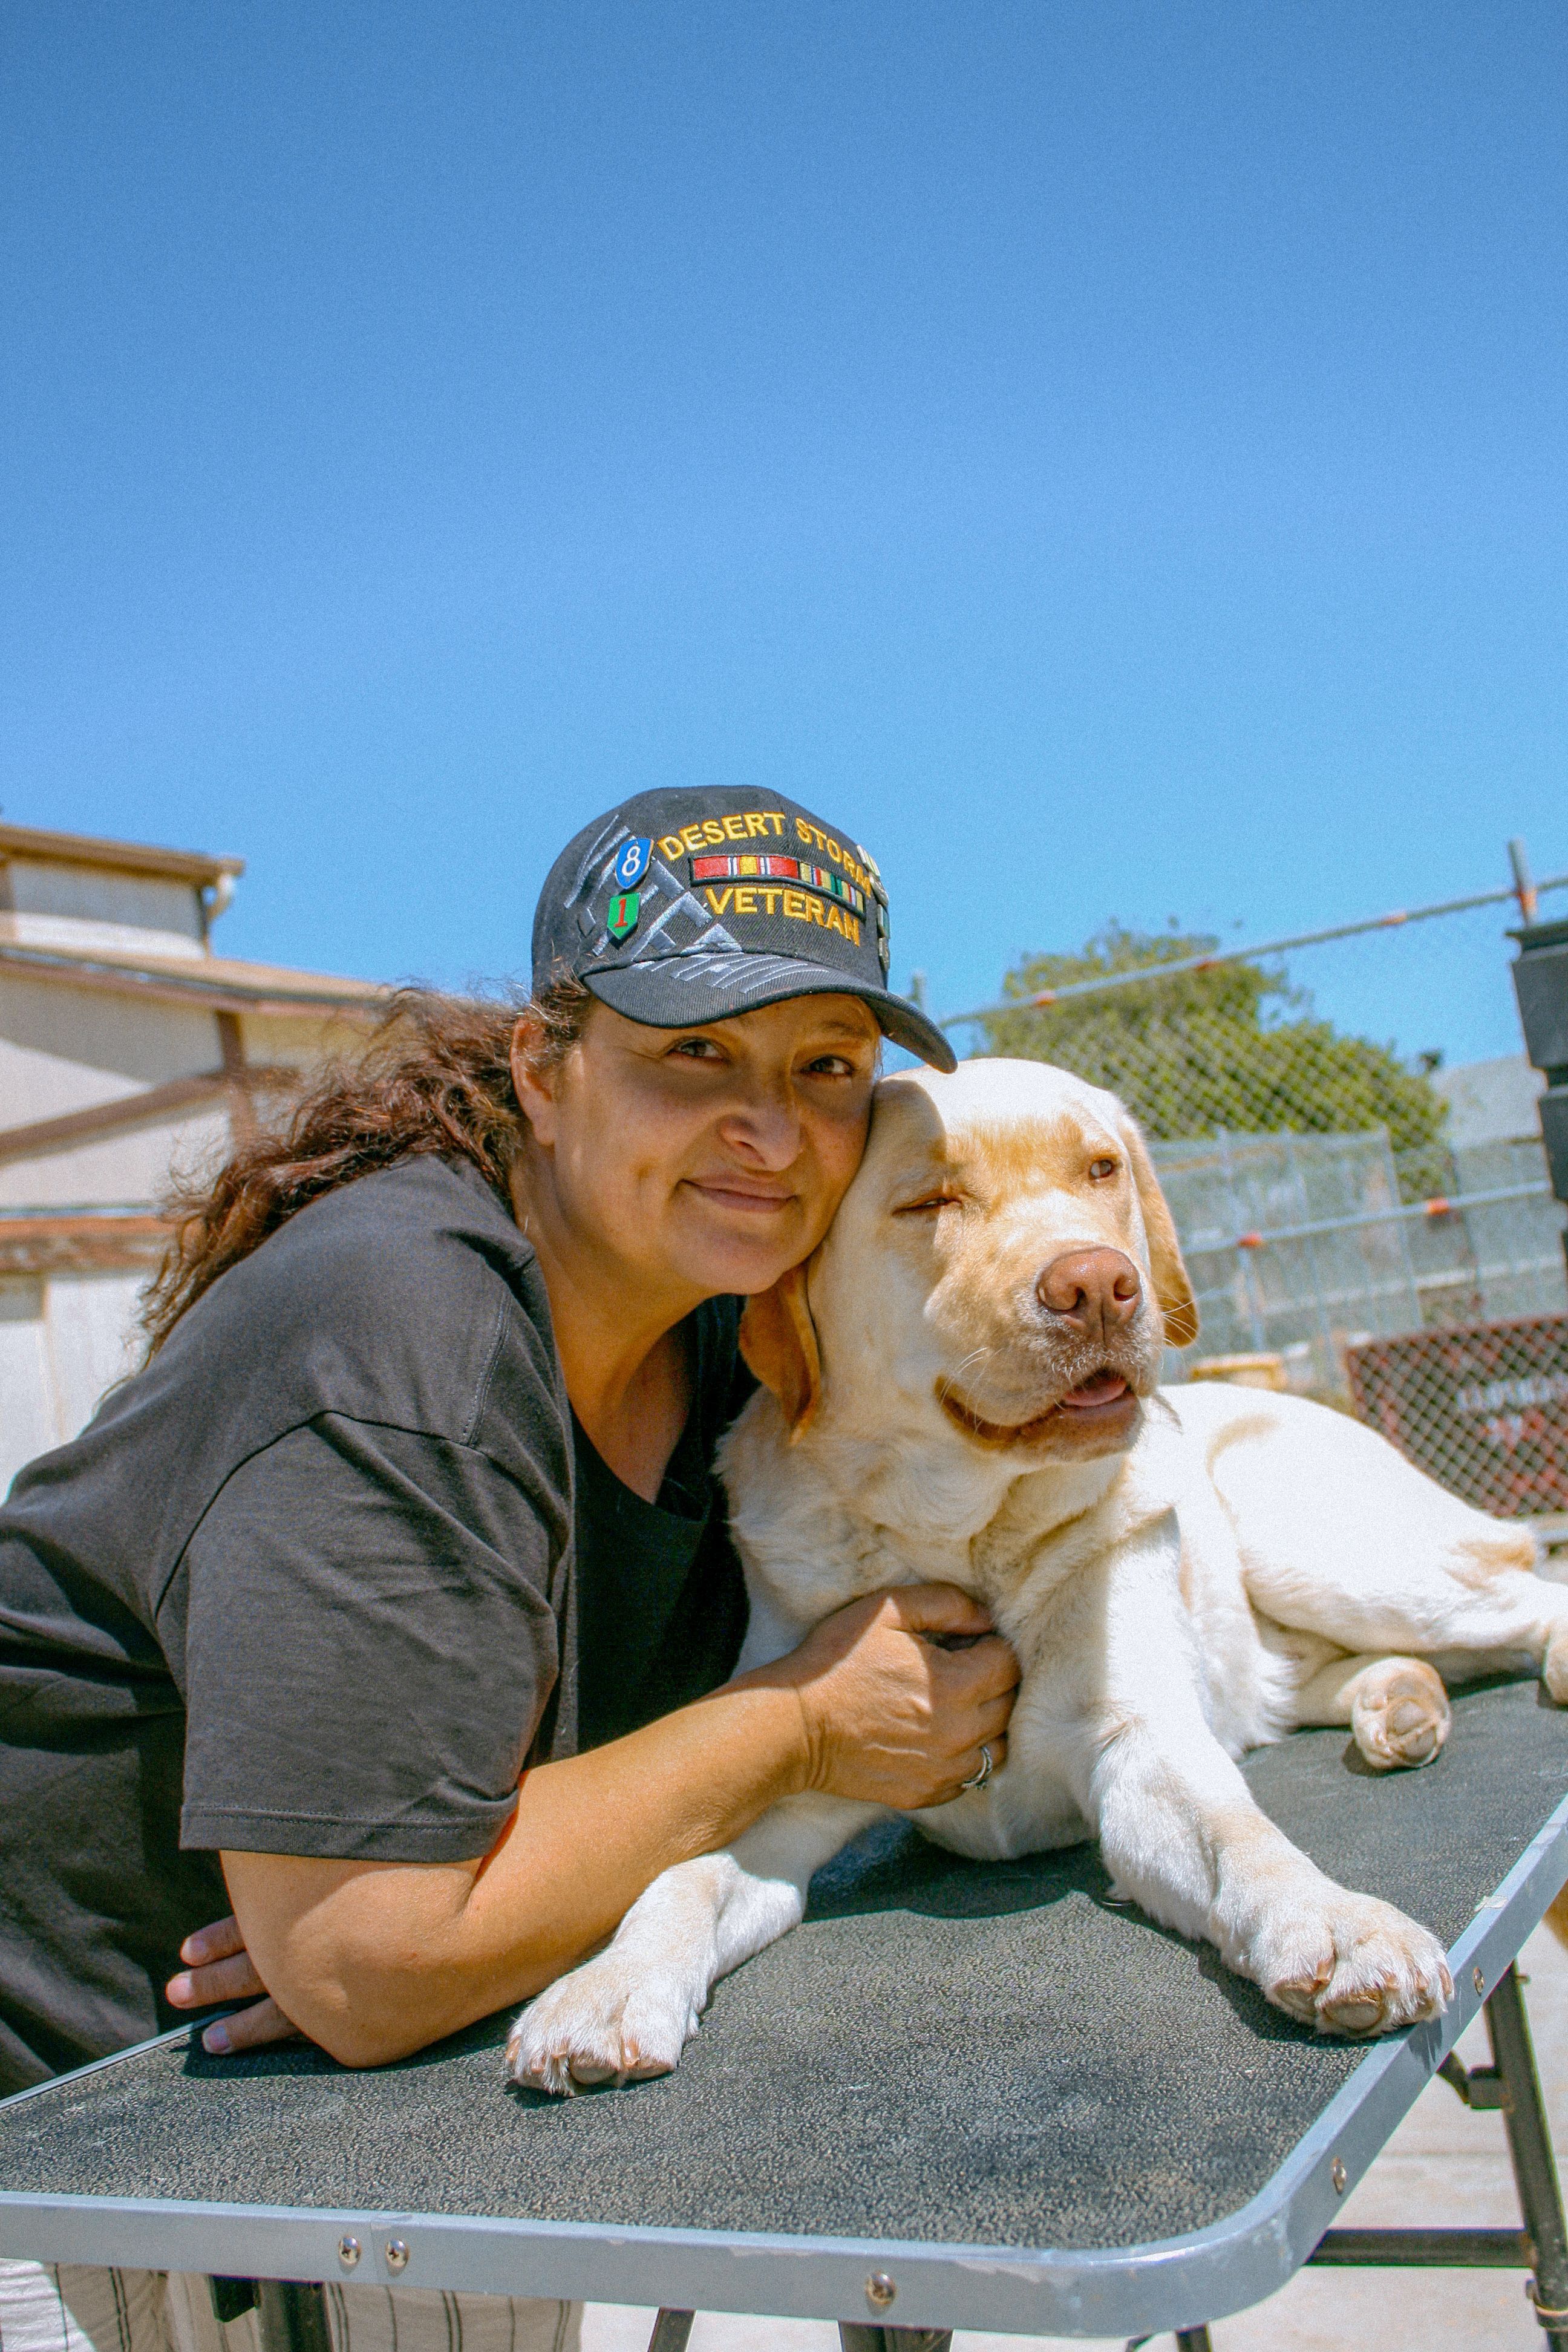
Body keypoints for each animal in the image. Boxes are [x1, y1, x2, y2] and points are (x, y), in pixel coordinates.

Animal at [510, 1058, 1561, 2088]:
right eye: (930, 1200)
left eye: (1101, 1169)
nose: (1099, 1286)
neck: (964, 1534)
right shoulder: (792, 1785)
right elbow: (678, 1876)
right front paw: (609, 1986)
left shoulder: (1141, 1747)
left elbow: (1243, 1837)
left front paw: (1335, 1925)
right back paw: (1402, 1704)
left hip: (1315, 1545)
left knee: (1527, 1594)